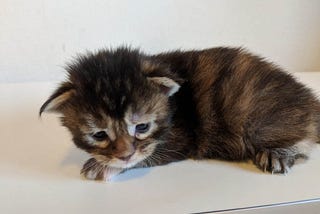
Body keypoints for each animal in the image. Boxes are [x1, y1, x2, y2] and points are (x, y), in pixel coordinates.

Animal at [40, 46, 320, 181]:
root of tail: (310, 99)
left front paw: (102, 166)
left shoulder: (182, 136)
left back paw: (279, 153)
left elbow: (148, 153)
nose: (124, 155)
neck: (172, 104)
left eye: (142, 127)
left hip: (256, 115)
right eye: (99, 135)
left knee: (305, 134)